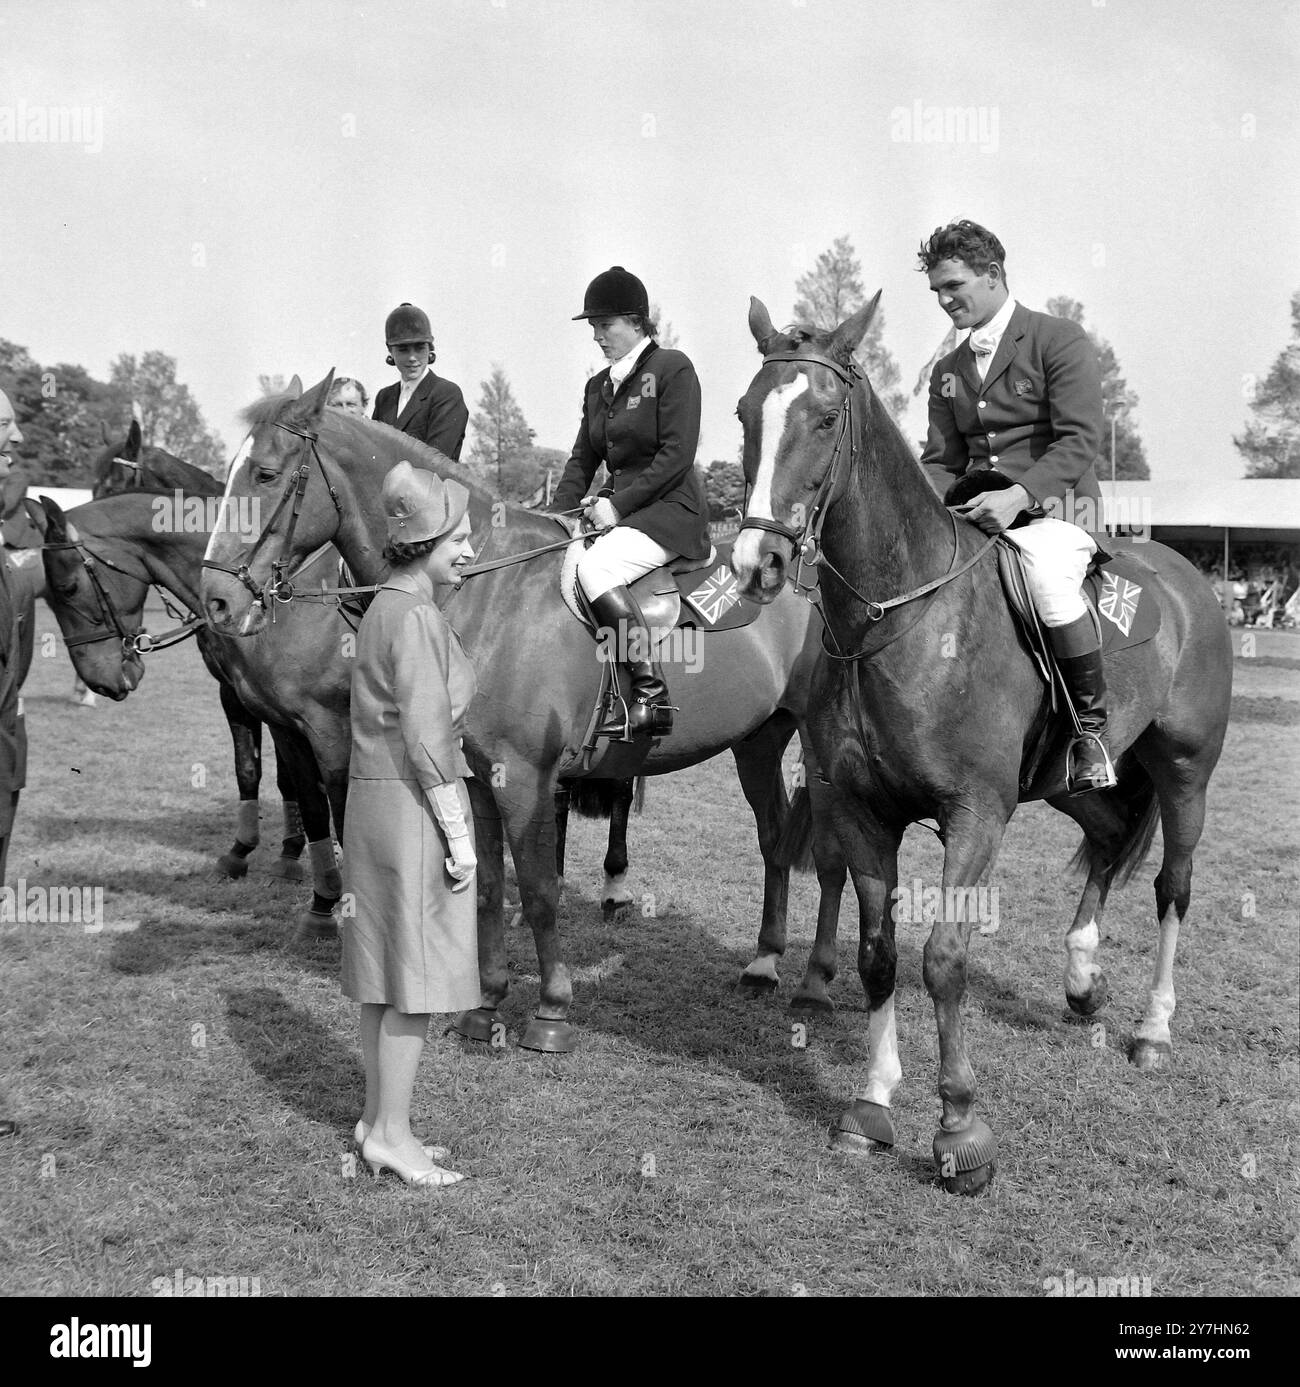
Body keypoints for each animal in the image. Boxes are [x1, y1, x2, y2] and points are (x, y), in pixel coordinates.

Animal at [732, 292, 1226, 1192]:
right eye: (746, 413)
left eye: (823, 417)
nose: (758, 562)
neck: (899, 617)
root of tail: (1185, 574)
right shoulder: (861, 812)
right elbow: (879, 954)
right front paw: (871, 1104)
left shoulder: (975, 814)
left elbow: (943, 958)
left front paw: (960, 1127)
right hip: (1074, 781)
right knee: (1109, 842)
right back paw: (1082, 980)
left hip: (1186, 773)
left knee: (1173, 886)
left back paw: (1151, 1028)